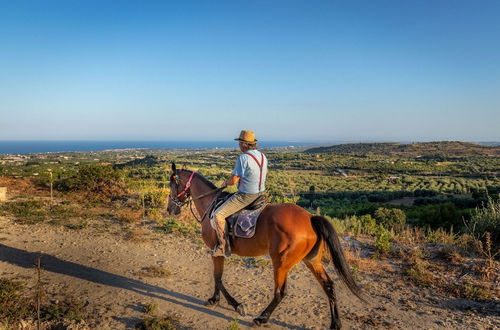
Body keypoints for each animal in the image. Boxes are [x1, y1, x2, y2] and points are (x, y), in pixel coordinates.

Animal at [167, 164, 364, 328]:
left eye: (172, 186)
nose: (170, 209)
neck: (210, 204)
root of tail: (310, 218)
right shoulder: (217, 253)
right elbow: (218, 277)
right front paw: (214, 300)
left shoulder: (217, 251)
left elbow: (218, 278)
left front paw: (236, 305)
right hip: (312, 260)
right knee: (328, 286)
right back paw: (335, 324)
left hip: (281, 263)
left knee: (280, 292)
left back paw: (262, 318)